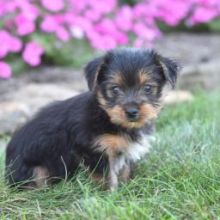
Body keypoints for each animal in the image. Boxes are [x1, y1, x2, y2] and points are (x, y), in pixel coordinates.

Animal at [5, 48, 180, 191]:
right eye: (115, 89)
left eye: (148, 88)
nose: (131, 112)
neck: (106, 115)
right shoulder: (94, 149)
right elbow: (105, 176)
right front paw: (110, 195)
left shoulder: (123, 151)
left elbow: (124, 170)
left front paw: (126, 189)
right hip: (36, 169)